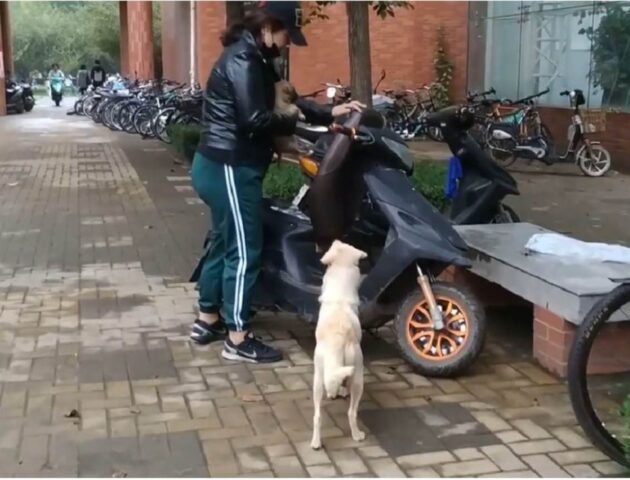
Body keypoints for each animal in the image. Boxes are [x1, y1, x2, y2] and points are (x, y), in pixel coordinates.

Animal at [312, 240, 368, 450]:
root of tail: (338, 337)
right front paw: (341, 390)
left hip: (317, 378)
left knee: (317, 416)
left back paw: (316, 442)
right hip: (359, 374)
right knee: (351, 412)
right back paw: (357, 435)